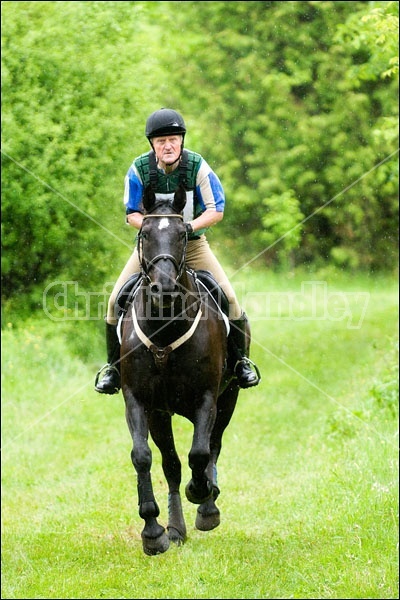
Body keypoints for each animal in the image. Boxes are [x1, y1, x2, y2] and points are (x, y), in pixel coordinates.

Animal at [119, 185, 247, 556]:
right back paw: (175, 528)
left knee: (213, 447)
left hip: (229, 399)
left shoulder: (207, 399)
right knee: (172, 465)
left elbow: (201, 452)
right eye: (145, 234)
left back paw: (208, 506)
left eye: (181, 235)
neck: (165, 328)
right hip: (163, 415)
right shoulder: (142, 403)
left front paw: (201, 493)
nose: (164, 289)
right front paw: (153, 532)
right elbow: (144, 457)